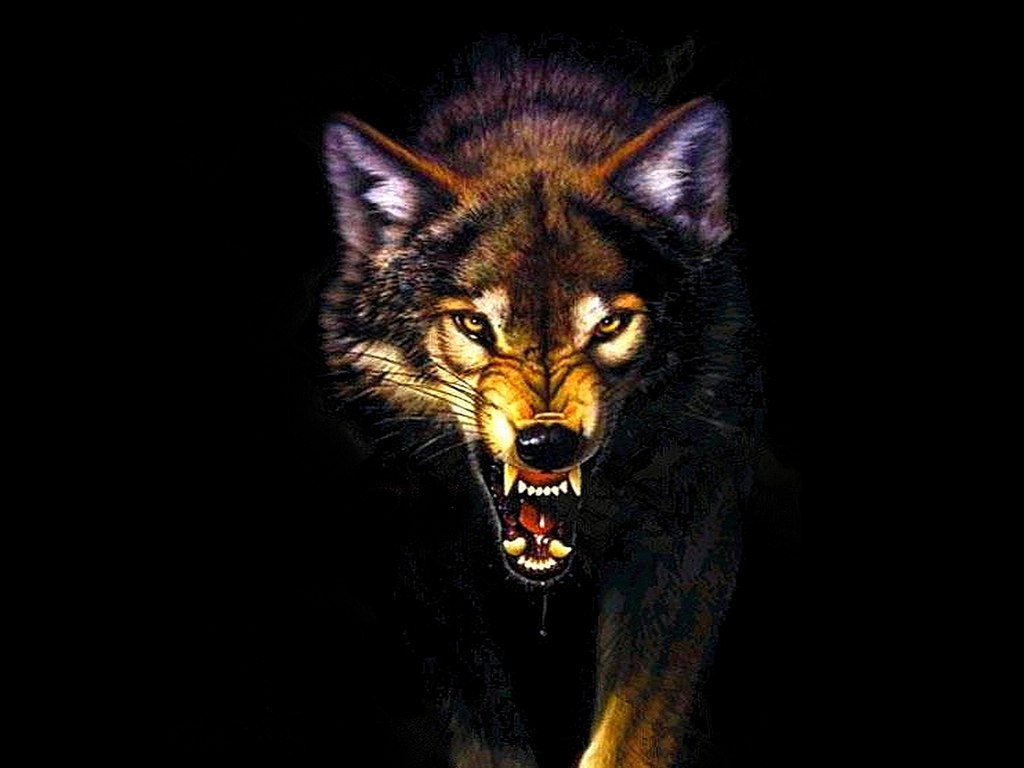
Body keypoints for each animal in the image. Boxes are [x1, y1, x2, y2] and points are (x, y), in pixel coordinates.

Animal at [321, 53, 761, 768]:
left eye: (609, 324)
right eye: (475, 325)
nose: (547, 445)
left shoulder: (695, 519)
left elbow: (632, 732)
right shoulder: (411, 534)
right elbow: (484, 722)